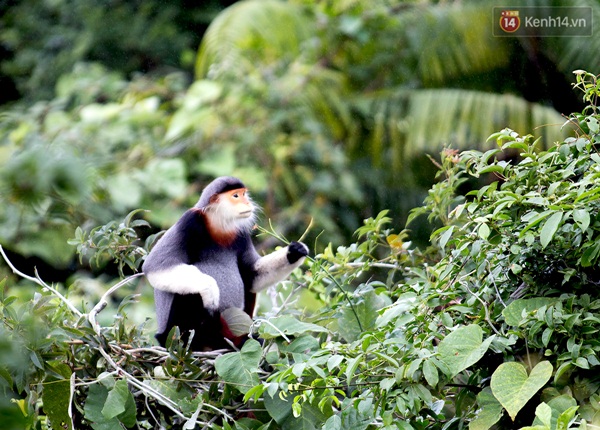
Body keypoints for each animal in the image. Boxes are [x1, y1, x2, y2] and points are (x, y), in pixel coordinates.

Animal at [142, 176, 310, 352]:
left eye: (244, 194)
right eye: (236, 196)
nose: (247, 202)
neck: (218, 225)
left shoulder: (240, 234)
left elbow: (251, 275)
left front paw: (294, 252)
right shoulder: (189, 222)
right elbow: (153, 266)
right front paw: (210, 288)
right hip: (173, 332)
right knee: (192, 294)